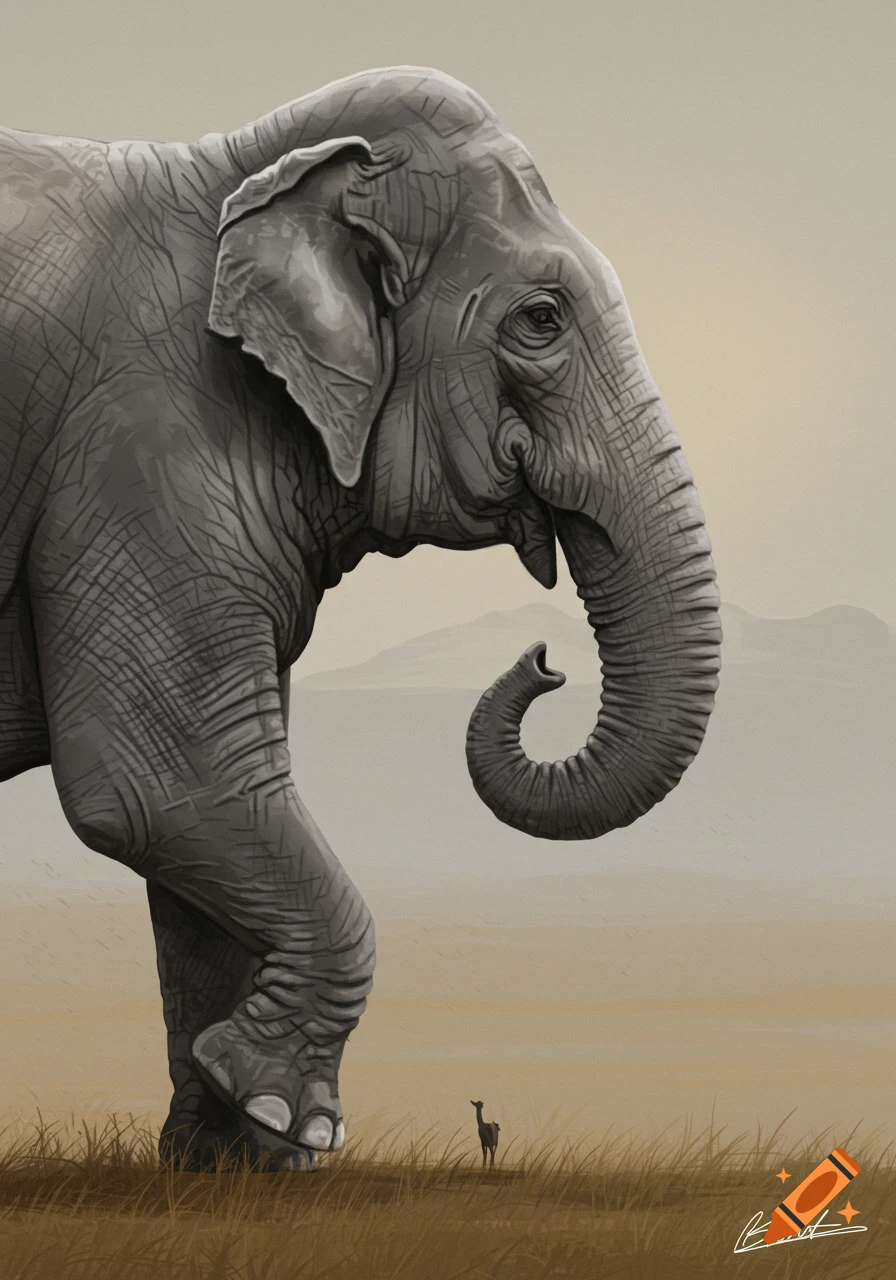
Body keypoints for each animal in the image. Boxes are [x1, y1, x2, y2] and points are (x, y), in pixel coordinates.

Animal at [0, 67, 721, 1171]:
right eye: (541, 319)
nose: (543, 663)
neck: (240, 165)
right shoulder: (140, 442)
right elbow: (160, 783)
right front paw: (288, 1119)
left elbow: (213, 818)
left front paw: (233, 1160)